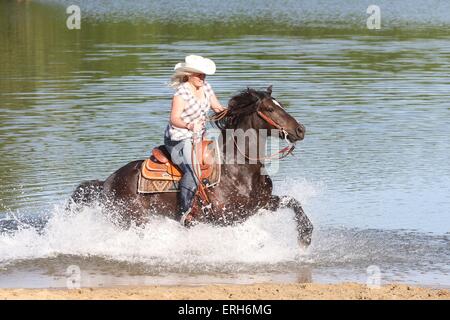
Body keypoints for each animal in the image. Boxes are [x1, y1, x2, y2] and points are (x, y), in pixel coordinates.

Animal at [68, 85, 314, 248]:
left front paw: (305, 235)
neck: (238, 169)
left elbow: (292, 202)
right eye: (270, 109)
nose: (300, 129)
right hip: (132, 220)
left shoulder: (262, 203)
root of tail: (106, 182)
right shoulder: (230, 216)